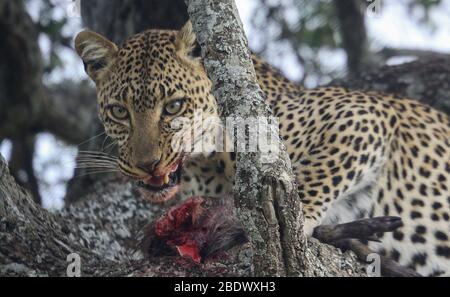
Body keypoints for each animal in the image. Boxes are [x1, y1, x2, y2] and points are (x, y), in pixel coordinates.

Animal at [74, 21, 450, 276]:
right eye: (119, 111)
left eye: (174, 106)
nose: (147, 164)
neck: (207, 165)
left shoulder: (363, 115)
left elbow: (305, 184)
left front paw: (283, 227)